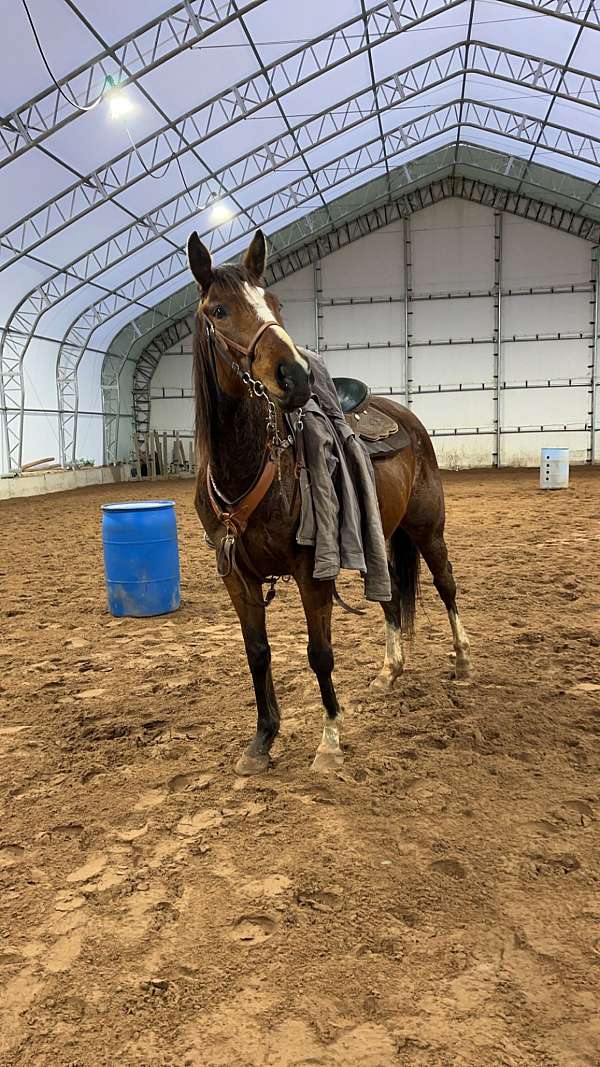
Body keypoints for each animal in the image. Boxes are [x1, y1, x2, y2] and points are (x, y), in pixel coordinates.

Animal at [188, 228, 471, 775]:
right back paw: (389, 672)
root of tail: (404, 417)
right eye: (219, 310)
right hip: (379, 536)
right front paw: (261, 741)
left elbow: (319, 652)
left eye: (274, 302)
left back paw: (464, 661)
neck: (249, 468)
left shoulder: (310, 568)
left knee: (446, 585)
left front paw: (330, 741)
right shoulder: (236, 576)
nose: (295, 376)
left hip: (428, 528)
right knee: (391, 596)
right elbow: (257, 652)